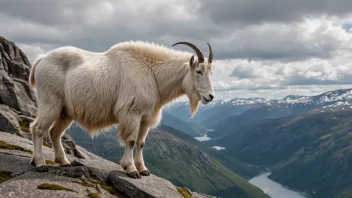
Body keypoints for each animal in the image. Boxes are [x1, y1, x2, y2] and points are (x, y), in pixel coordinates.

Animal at [27, 40, 214, 178]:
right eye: (198, 71)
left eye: (211, 73)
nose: (210, 97)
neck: (153, 73)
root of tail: (41, 60)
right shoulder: (131, 113)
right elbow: (131, 140)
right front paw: (131, 169)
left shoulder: (145, 118)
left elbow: (141, 142)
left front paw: (143, 169)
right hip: (50, 103)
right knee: (37, 128)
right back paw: (40, 163)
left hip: (65, 112)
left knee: (54, 133)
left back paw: (63, 161)